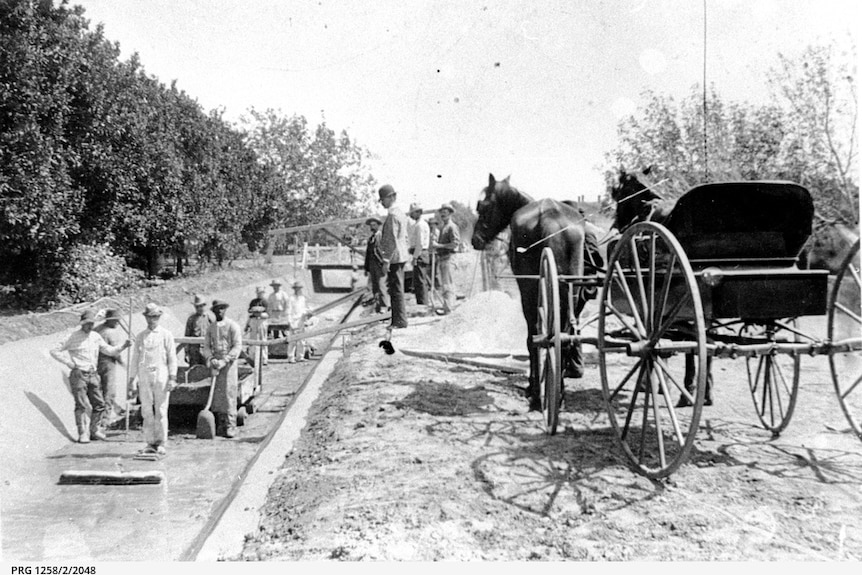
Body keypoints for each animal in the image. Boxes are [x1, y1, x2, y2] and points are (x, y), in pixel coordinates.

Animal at [472, 173, 588, 412]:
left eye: (482, 206)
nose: (475, 240)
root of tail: (551, 216)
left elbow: (530, 338)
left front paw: (531, 386)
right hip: (570, 291)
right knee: (563, 337)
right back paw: (559, 395)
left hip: (532, 291)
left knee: (536, 337)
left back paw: (536, 396)